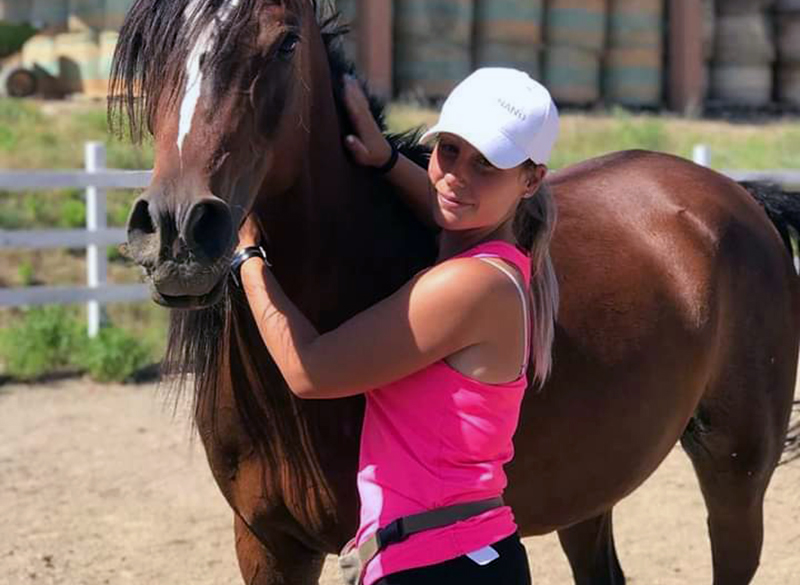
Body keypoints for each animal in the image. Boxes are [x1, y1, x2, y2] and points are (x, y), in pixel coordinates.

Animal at [109, 2, 796, 580]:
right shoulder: (268, 543)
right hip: (589, 489)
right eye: (147, 44)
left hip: (736, 474)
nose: (178, 231)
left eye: (285, 43)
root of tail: (738, 196)